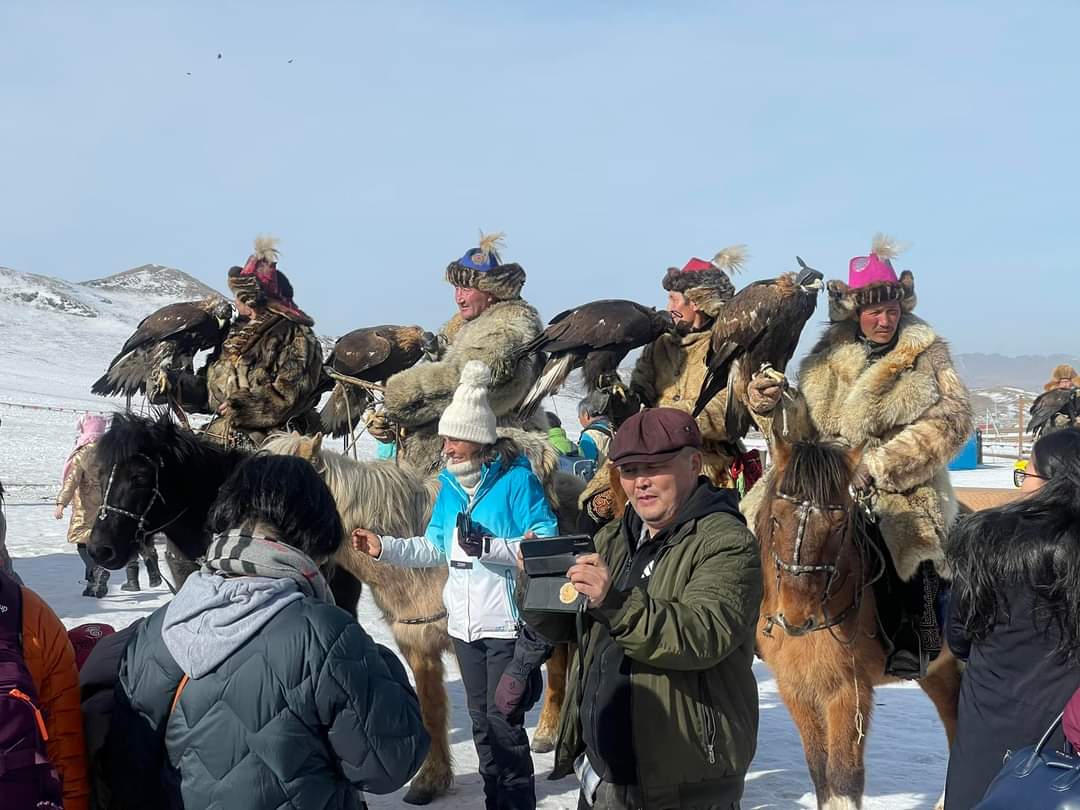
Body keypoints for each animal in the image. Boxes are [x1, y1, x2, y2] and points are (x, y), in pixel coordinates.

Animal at [751, 438, 963, 810]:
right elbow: (819, 771)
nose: (794, 617)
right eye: (776, 518)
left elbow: (843, 776)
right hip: (939, 670)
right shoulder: (795, 689)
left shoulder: (848, 691)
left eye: (839, 524)